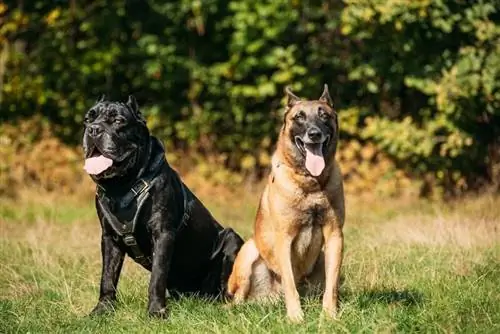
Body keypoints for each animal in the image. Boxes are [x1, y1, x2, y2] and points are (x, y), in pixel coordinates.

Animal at [83, 95, 243, 318]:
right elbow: (107, 276)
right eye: (88, 119)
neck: (122, 186)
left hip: (232, 239)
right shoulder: (109, 238)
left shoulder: (163, 233)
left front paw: (156, 312)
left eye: (118, 121)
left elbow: (157, 277)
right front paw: (102, 309)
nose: (93, 130)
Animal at [229, 85, 344, 322]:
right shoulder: (284, 239)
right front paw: (295, 317)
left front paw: (329, 316)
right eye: (299, 117)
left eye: (324, 115)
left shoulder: (335, 235)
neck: (311, 184)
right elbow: (290, 283)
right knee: (237, 298)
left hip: (321, 258)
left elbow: (332, 285)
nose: (314, 134)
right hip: (249, 252)